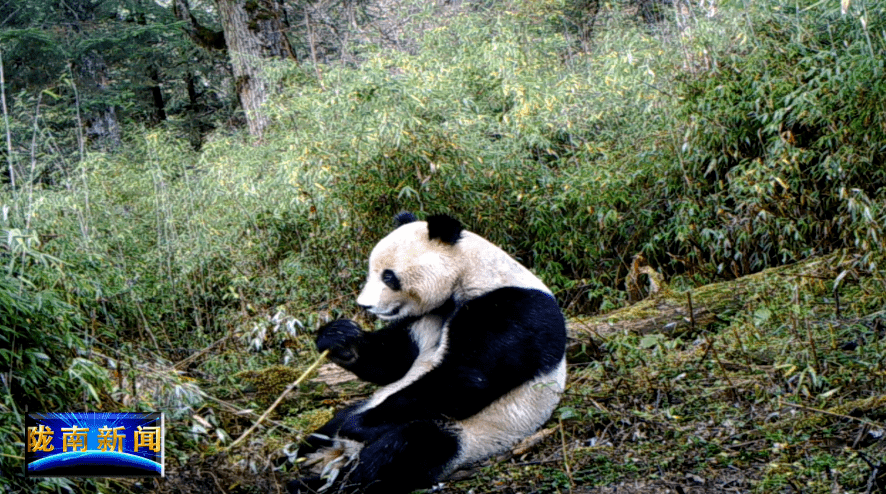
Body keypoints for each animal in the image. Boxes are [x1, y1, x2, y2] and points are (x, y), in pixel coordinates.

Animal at [292, 212, 568, 494]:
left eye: (389, 277)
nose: (365, 305)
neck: (470, 274)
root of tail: (341, 454)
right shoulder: (427, 316)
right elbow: (394, 361)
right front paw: (340, 337)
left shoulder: (513, 310)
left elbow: (466, 378)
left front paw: (358, 426)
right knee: (326, 430)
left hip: (474, 434)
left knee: (404, 449)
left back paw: (326, 480)